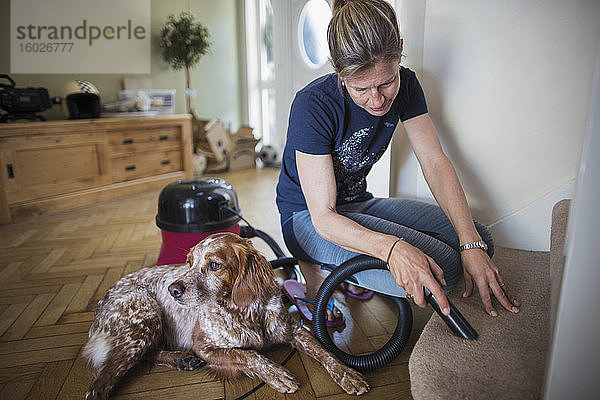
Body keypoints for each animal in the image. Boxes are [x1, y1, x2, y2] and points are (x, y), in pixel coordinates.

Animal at [82, 233, 368, 398]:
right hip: (145, 318)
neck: (247, 311)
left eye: (214, 265)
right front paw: (278, 374)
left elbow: (325, 352)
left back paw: (181, 360)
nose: (173, 290)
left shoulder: (295, 330)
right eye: (189, 263)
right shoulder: (204, 346)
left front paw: (348, 375)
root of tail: (103, 298)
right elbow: (249, 355)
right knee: (99, 385)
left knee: (147, 355)